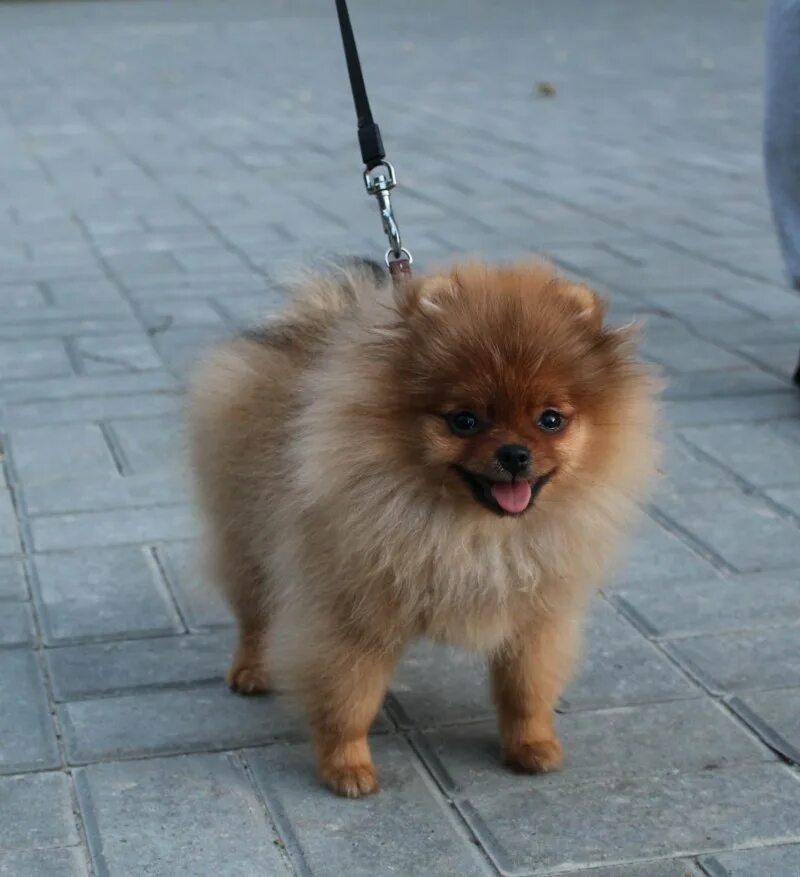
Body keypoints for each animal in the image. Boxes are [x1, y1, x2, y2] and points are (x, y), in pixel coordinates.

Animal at [188, 256, 656, 796]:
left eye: (551, 420)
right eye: (465, 420)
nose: (515, 453)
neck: (470, 530)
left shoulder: (536, 617)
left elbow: (526, 688)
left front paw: (531, 745)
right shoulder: (350, 617)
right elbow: (348, 700)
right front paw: (346, 767)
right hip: (247, 538)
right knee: (254, 613)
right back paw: (250, 669)